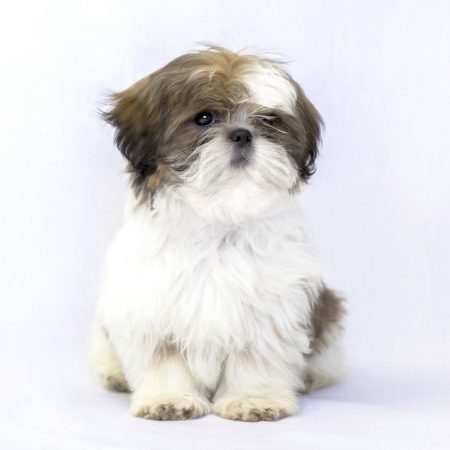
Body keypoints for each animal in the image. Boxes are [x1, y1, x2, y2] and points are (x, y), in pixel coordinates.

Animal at [89, 46, 345, 421]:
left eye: (270, 120)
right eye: (205, 118)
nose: (242, 134)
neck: (219, 218)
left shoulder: (272, 307)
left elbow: (256, 357)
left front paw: (254, 399)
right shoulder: (150, 303)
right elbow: (163, 358)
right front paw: (168, 398)